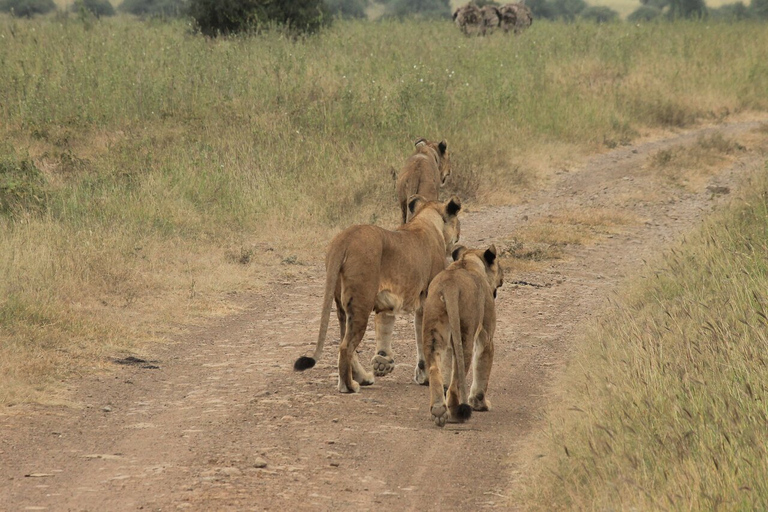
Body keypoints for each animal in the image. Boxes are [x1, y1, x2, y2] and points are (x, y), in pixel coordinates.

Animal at [294, 195, 462, 392]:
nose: (458, 235)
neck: (425, 220)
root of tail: (345, 237)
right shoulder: (428, 297)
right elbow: (423, 336)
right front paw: (431, 378)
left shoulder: (391, 302)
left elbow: (388, 327)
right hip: (361, 301)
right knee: (345, 347)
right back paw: (349, 386)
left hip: (342, 306)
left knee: (346, 343)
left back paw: (362, 378)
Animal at [420, 244, 504, 428]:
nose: (502, 277)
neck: (468, 261)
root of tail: (449, 286)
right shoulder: (486, 336)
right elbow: (482, 368)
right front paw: (481, 404)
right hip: (466, 333)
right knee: (455, 383)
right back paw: (455, 414)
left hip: (434, 330)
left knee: (435, 368)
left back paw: (438, 410)